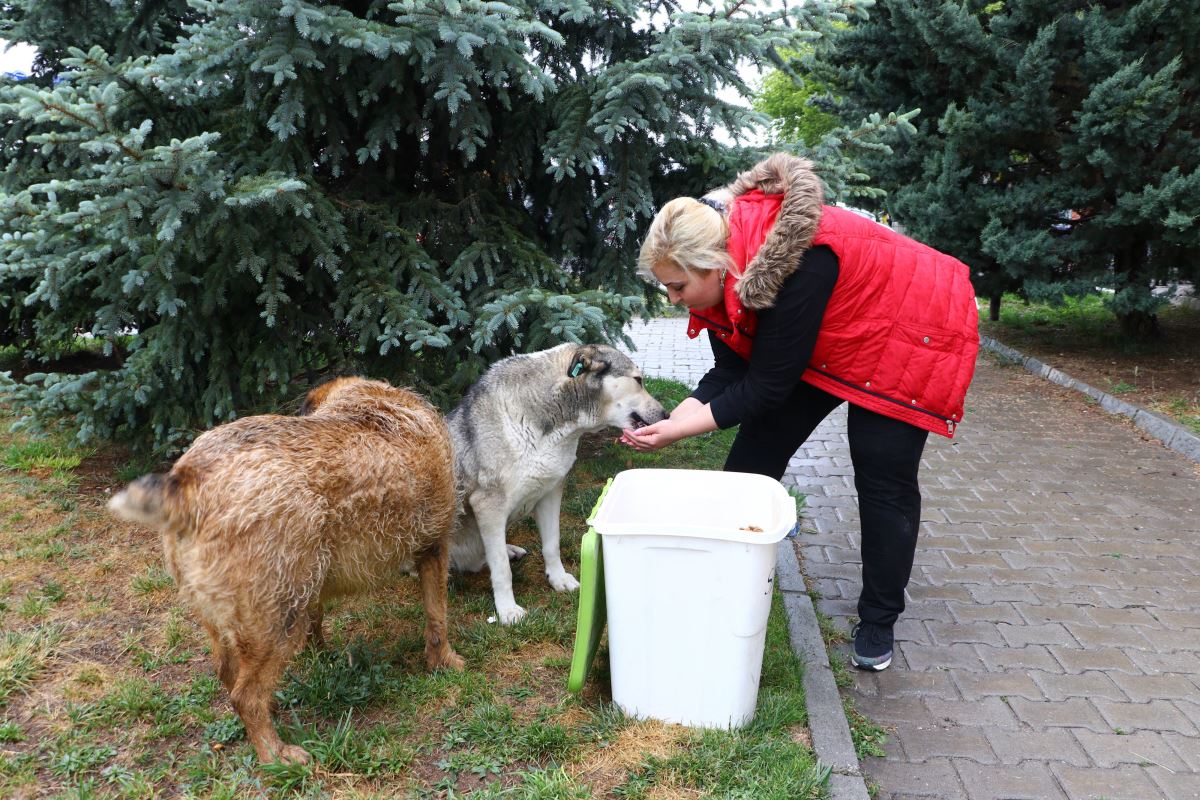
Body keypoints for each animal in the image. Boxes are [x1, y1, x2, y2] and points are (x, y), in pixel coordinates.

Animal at [105, 379, 460, 767]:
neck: (377, 400)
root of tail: (187, 482)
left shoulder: (313, 578)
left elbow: (317, 618)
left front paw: (319, 652)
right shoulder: (436, 547)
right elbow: (437, 618)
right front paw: (444, 662)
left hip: (238, 612)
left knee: (228, 674)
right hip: (277, 618)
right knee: (245, 694)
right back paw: (274, 753)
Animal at [451, 345, 672, 623]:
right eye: (638, 380)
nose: (667, 415)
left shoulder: (550, 492)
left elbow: (551, 544)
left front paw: (558, 579)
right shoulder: (489, 505)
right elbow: (501, 567)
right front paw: (507, 610)